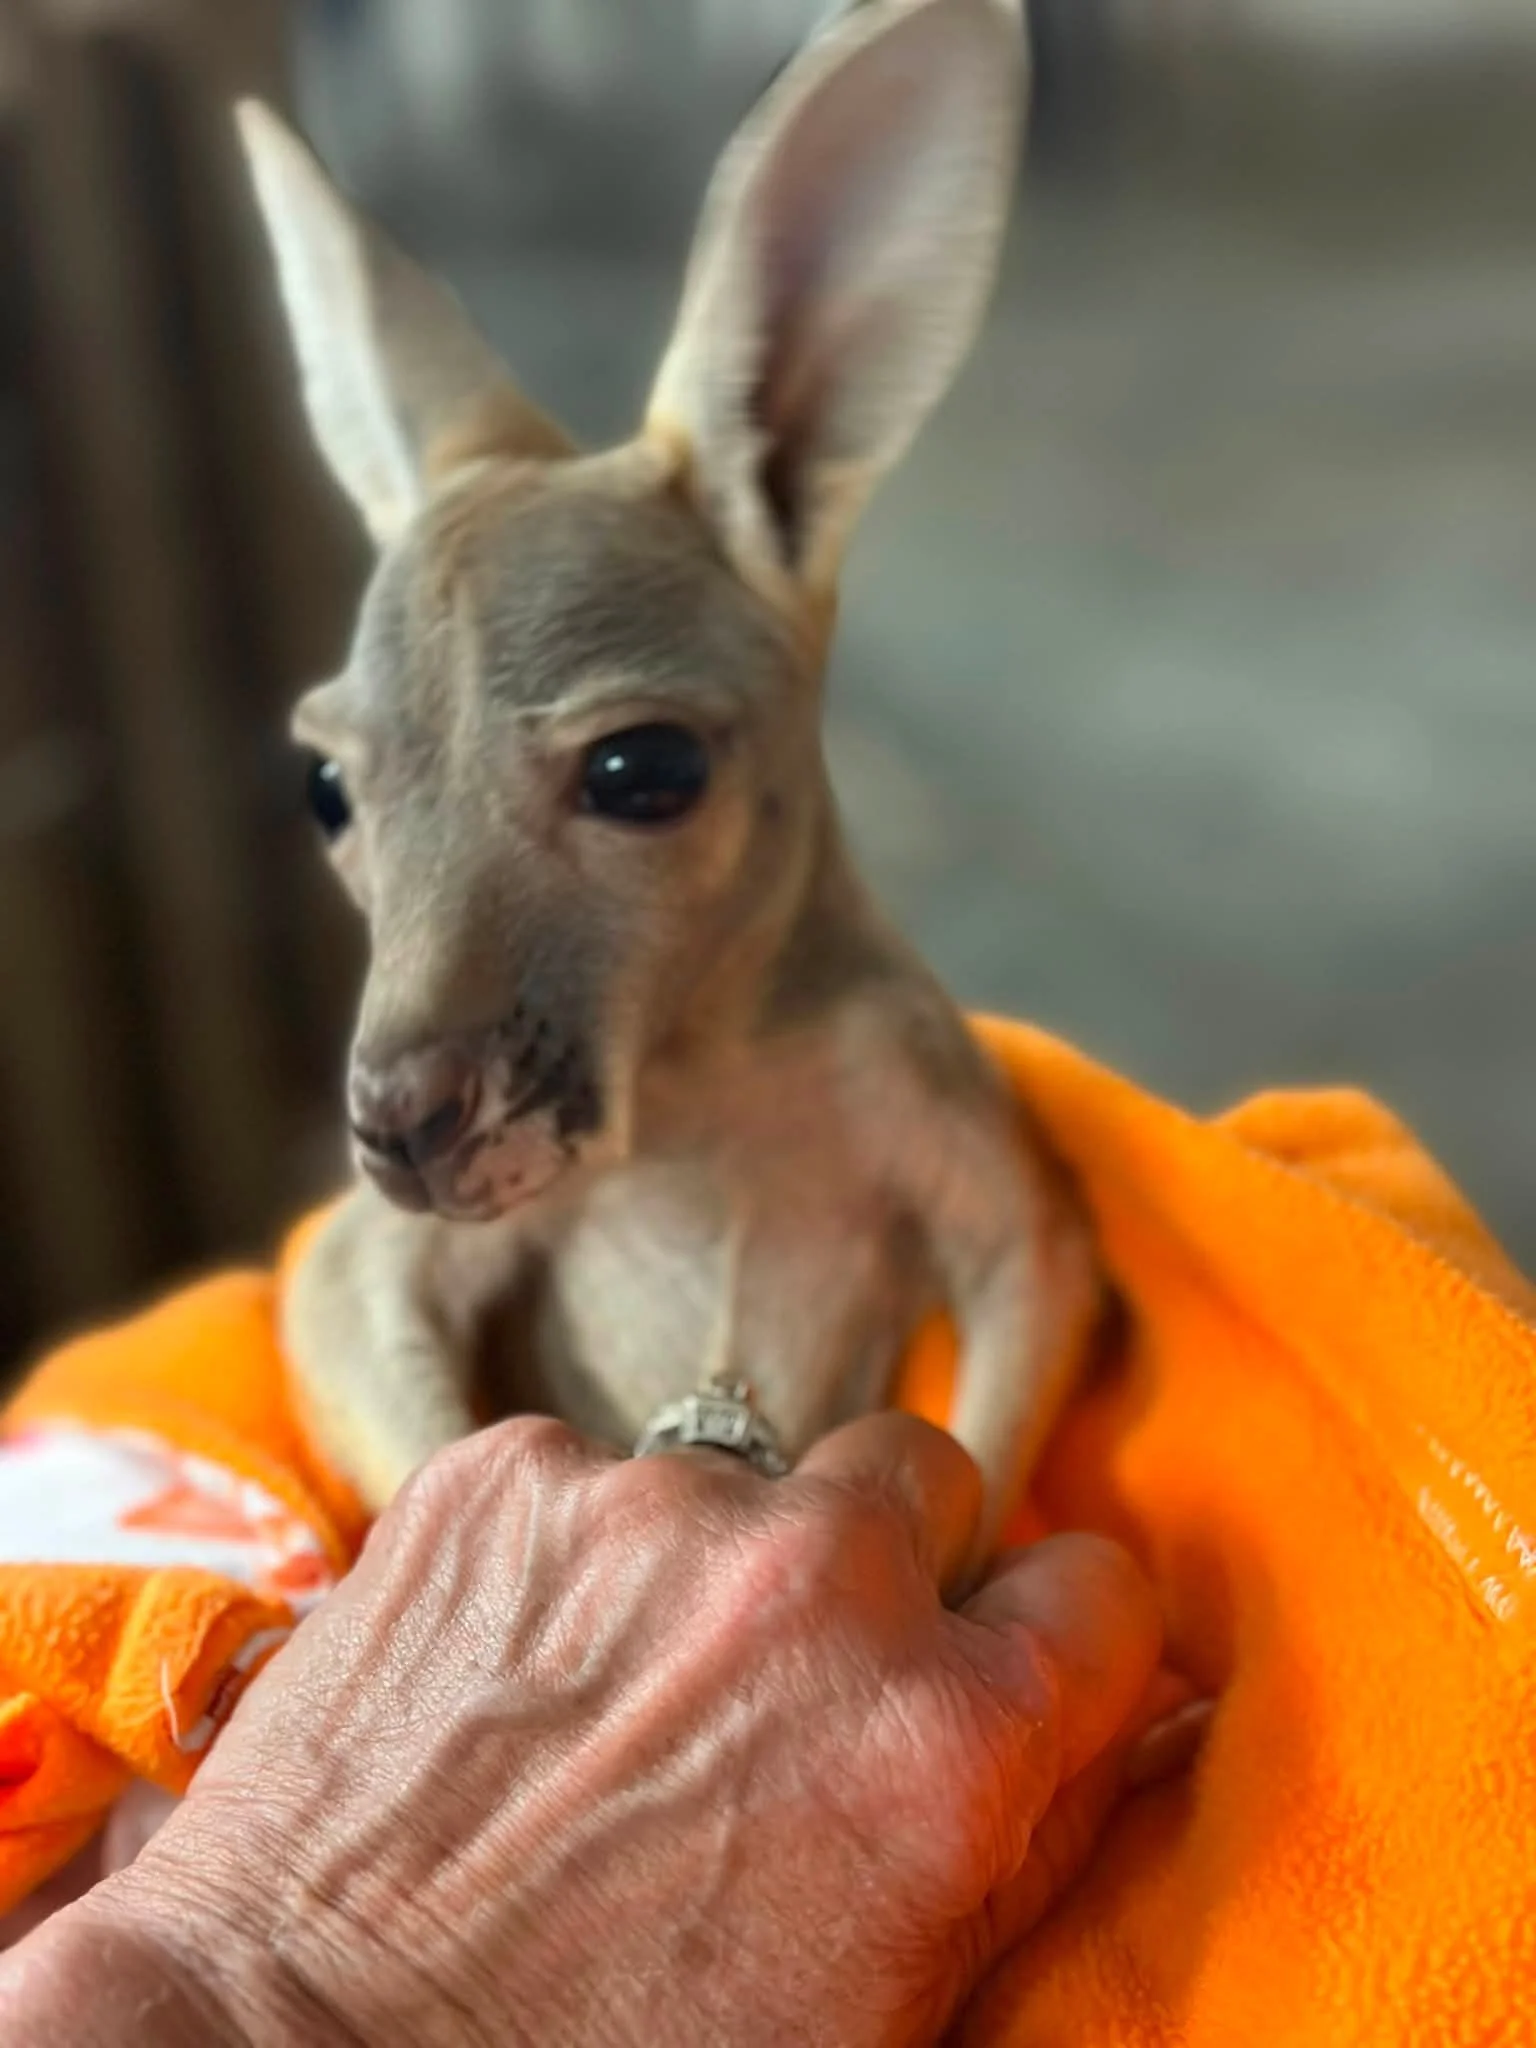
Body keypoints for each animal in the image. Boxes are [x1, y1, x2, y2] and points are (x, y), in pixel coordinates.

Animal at [239, 0, 1101, 1579]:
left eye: (645, 771)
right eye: (325, 789)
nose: (398, 1126)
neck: (704, 1078)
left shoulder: (977, 1162)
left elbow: (1015, 1356)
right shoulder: (362, 1259)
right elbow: (413, 1422)